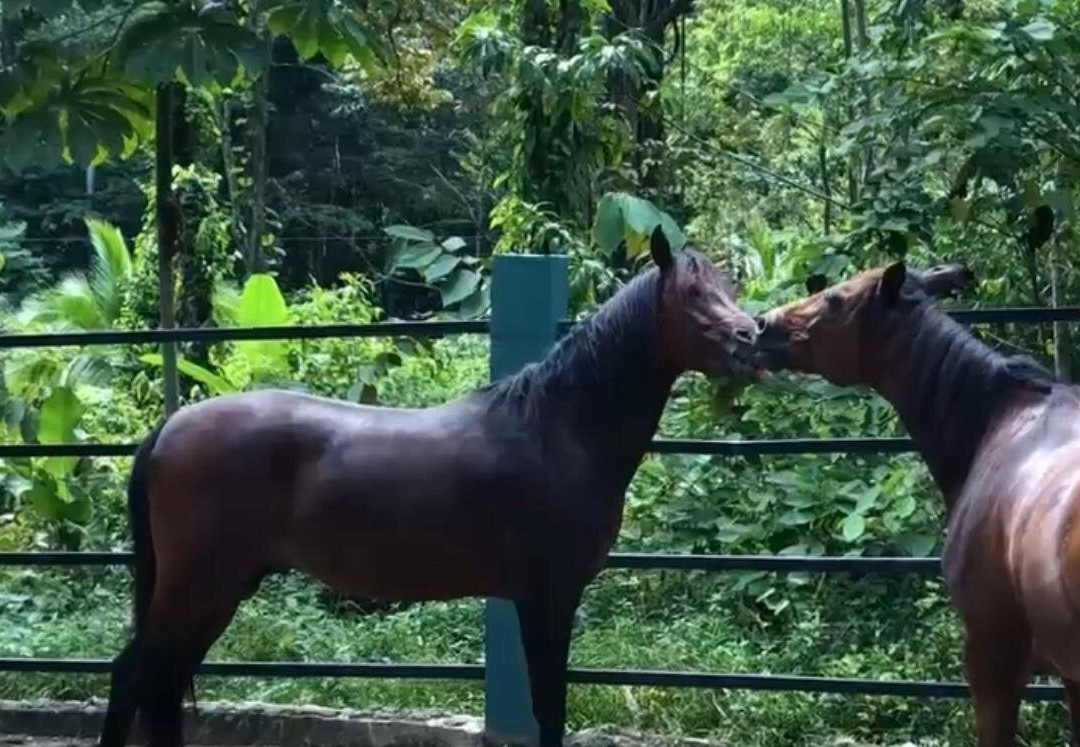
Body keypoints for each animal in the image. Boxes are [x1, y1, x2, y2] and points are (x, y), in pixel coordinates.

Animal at [99, 226, 761, 747]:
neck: (559, 427)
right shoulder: (546, 594)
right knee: (133, 677)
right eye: (691, 295)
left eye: (728, 289)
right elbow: (548, 708)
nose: (751, 338)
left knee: (161, 683)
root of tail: (170, 427)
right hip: (196, 584)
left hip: (220, 589)